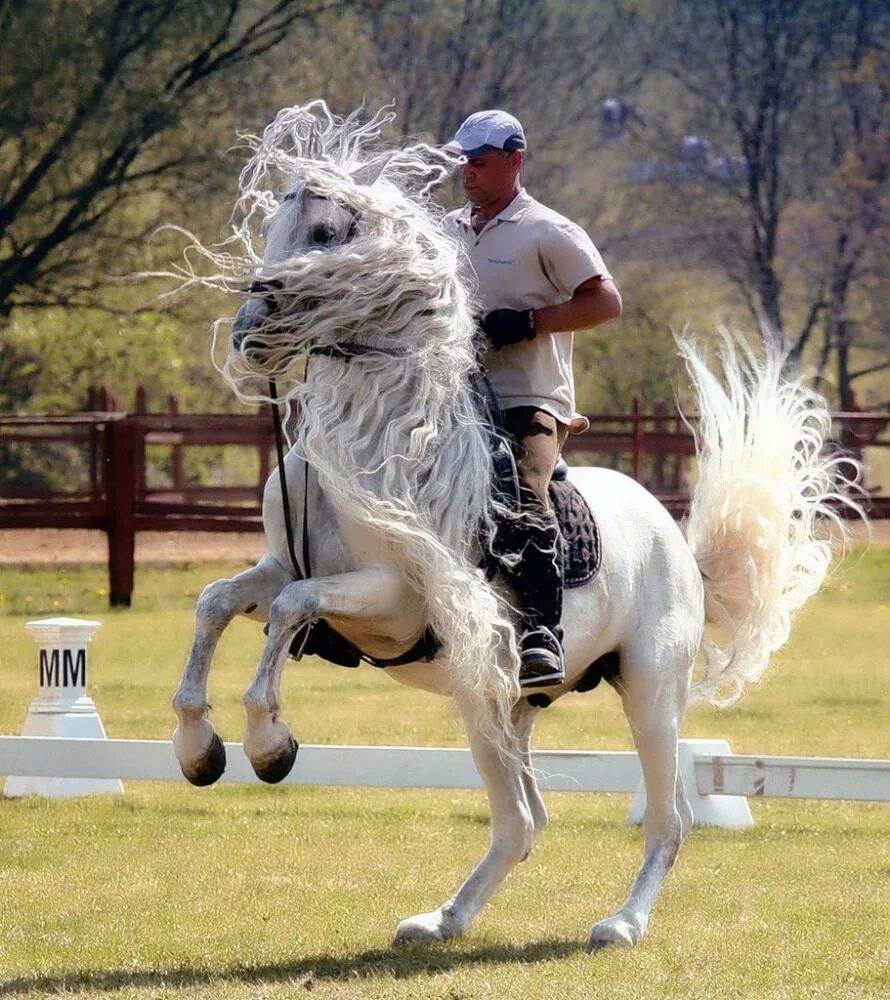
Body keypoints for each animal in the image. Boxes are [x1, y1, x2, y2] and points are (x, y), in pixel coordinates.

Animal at [172, 103, 852, 952]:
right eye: (271, 226)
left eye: (325, 233)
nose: (248, 334)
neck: (373, 442)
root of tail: (676, 541)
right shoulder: (277, 567)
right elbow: (218, 603)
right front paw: (198, 750)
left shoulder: (395, 598)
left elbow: (295, 608)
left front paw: (269, 744)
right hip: (494, 702)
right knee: (521, 822)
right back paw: (442, 919)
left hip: (651, 693)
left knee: (668, 819)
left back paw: (620, 924)